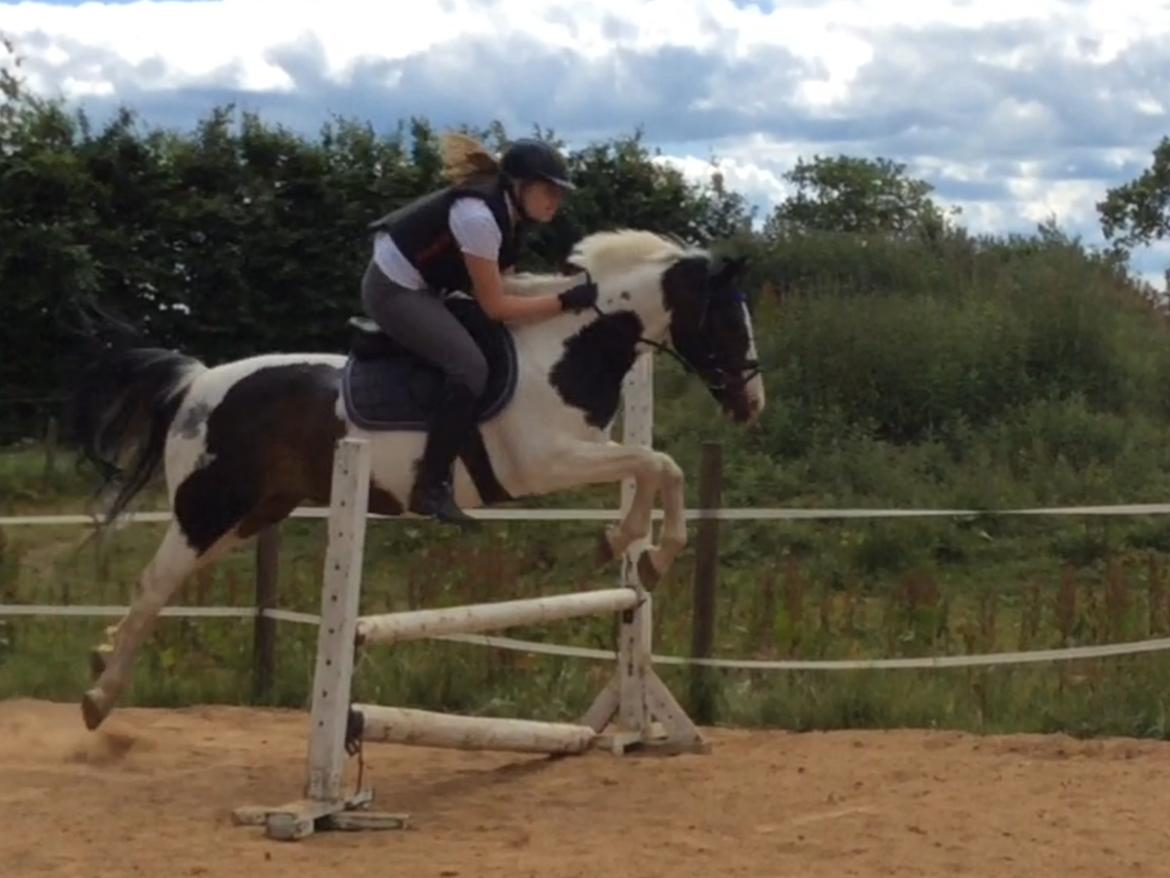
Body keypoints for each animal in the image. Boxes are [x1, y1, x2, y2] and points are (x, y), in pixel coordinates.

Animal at [68, 228, 766, 731]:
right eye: (729, 321)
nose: (751, 404)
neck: (567, 349)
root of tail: (197, 382)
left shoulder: (587, 449)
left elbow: (657, 468)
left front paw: (632, 549)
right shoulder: (548, 461)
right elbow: (658, 464)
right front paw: (642, 548)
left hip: (252, 513)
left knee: (166, 585)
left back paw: (103, 655)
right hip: (208, 510)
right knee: (155, 582)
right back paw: (99, 699)